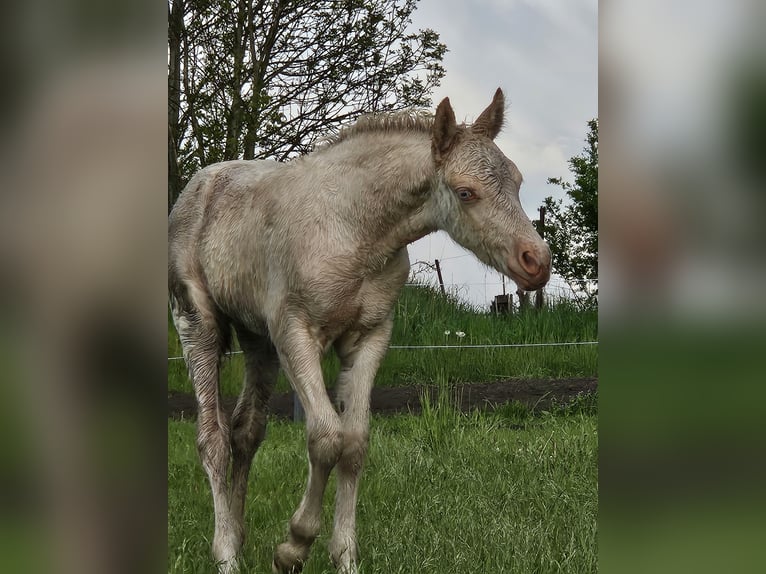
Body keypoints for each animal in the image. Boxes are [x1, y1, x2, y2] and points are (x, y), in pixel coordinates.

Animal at [168, 89, 551, 573]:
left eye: (518, 181)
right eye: (466, 192)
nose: (536, 262)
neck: (354, 229)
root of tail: (198, 187)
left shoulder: (369, 336)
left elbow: (354, 444)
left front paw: (344, 557)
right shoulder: (295, 331)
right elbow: (326, 438)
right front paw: (293, 547)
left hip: (258, 341)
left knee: (246, 432)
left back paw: (238, 534)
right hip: (197, 322)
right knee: (213, 439)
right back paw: (227, 555)